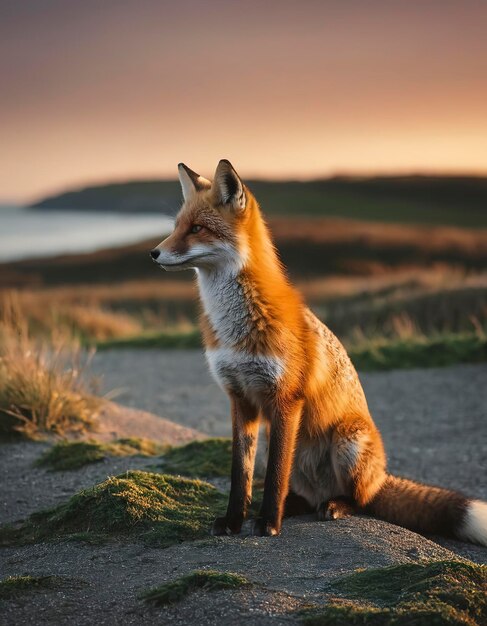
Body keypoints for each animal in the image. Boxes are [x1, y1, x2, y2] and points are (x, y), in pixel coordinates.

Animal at [151, 158, 486, 544]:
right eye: (177, 227)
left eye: (198, 229)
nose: (153, 253)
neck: (237, 328)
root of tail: (380, 477)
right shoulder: (240, 398)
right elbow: (241, 475)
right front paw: (234, 520)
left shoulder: (285, 398)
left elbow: (275, 476)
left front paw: (268, 523)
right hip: (284, 447)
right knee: (301, 494)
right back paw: (294, 506)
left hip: (347, 441)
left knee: (361, 500)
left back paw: (334, 506)